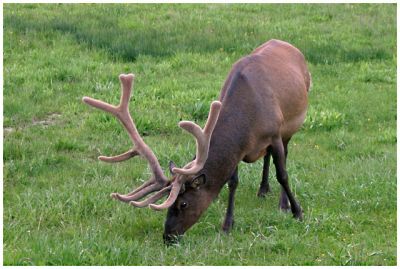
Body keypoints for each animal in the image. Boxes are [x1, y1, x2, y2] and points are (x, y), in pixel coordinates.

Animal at [82, 39, 312, 243]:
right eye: (169, 203)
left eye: (183, 204)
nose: (168, 237)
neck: (248, 121)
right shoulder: (238, 150)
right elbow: (233, 182)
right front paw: (227, 225)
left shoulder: (274, 134)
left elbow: (283, 174)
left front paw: (297, 212)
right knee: (266, 158)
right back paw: (263, 189)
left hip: (290, 126)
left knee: (282, 158)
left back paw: (282, 202)